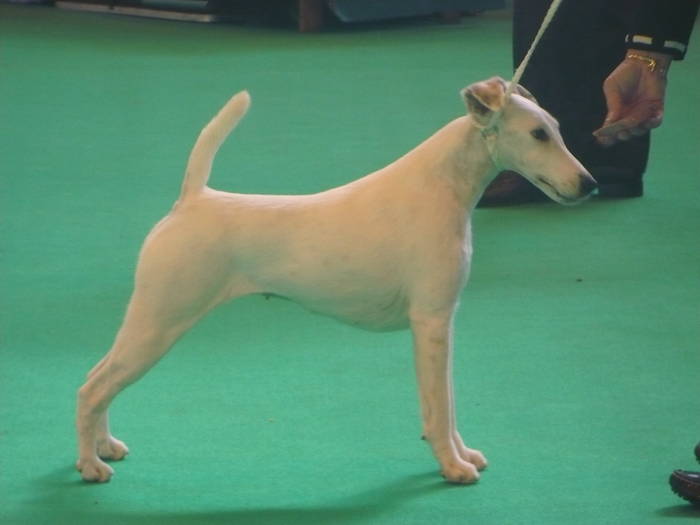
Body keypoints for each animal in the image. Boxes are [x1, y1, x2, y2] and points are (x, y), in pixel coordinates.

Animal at [74, 77, 596, 484]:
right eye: (537, 134)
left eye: (556, 130)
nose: (589, 184)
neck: (442, 185)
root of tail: (191, 200)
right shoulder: (431, 323)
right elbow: (439, 407)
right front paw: (453, 467)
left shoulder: (441, 322)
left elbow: (447, 403)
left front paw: (464, 455)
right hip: (159, 324)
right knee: (93, 389)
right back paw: (91, 467)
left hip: (150, 325)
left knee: (97, 380)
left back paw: (105, 447)